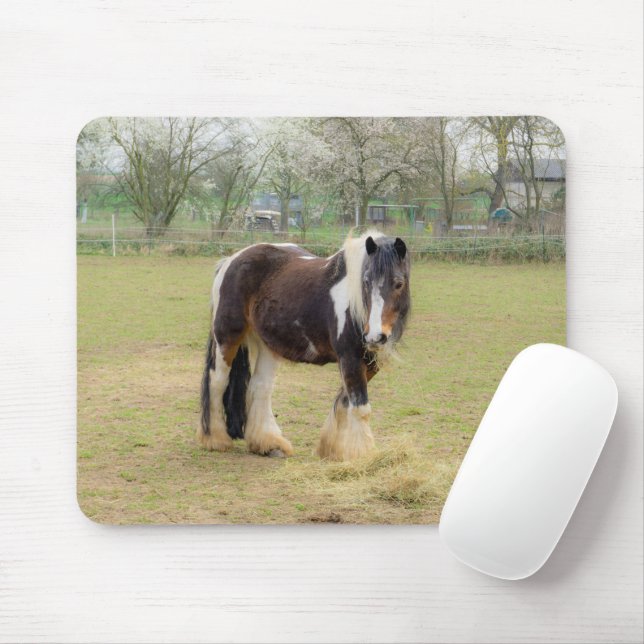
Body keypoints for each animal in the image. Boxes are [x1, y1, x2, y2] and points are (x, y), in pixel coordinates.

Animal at [197, 230, 411, 461]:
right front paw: (364, 456)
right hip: (227, 337)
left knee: (260, 387)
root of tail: (230, 260)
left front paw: (331, 449)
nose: (374, 336)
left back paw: (269, 444)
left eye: (399, 284)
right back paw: (215, 439)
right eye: (366, 282)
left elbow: (344, 401)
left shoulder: (369, 363)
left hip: (268, 345)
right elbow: (360, 408)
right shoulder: (350, 358)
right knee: (217, 381)